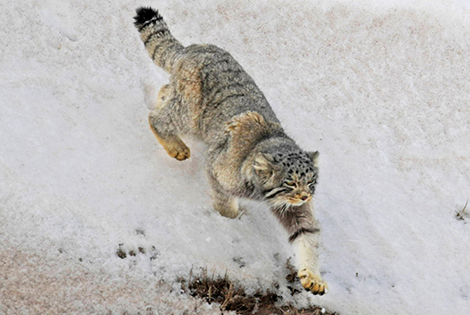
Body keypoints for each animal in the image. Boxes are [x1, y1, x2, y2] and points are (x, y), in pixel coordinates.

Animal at [134, 6, 328, 296]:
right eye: (291, 183)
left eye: (311, 182)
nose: (305, 196)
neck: (261, 193)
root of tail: (193, 48)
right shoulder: (217, 170)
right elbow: (224, 201)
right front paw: (232, 220)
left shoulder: (294, 210)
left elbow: (307, 237)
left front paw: (313, 277)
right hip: (190, 114)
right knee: (157, 118)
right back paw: (176, 145)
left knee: (165, 90)